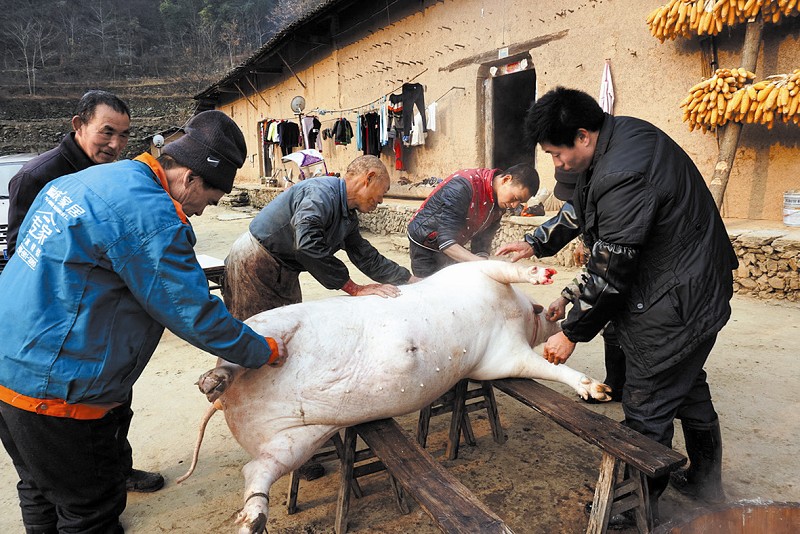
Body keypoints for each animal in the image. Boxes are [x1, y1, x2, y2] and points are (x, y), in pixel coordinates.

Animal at [178, 258, 608, 532]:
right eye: (544, 309)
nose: (555, 314)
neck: (513, 316)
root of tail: (228, 402)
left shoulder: (499, 359)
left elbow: (543, 368)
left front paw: (598, 393)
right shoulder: (473, 274)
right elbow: (501, 264)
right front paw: (541, 272)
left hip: (294, 438)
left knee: (256, 470)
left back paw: (251, 521)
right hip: (271, 324)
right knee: (240, 348)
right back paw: (211, 382)